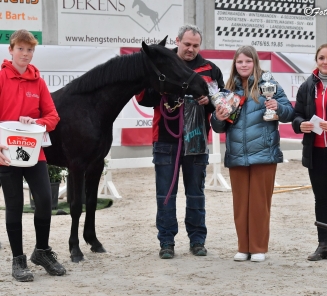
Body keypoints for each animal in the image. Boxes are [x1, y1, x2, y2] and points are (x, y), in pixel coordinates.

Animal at [43, 38, 209, 262]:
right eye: (168, 64)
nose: (203, 85)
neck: (88, 108)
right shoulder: (76, 166)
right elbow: (77, 206)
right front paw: (75, 250)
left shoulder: (96, 165)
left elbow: (91, 202)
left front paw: (94, 242)